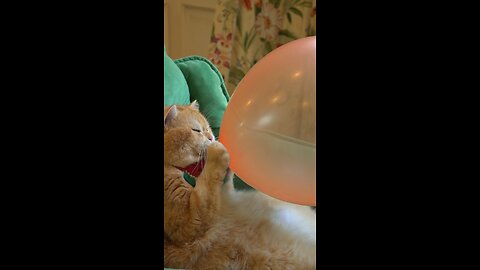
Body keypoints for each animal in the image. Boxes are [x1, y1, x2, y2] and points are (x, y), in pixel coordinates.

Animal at [163, 102, 316, 270]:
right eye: (196, 130)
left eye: (208, 128)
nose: (211, 137)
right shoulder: (186, 225)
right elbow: (208, 185)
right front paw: (217, 150)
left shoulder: (223, 198)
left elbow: (217, 186)